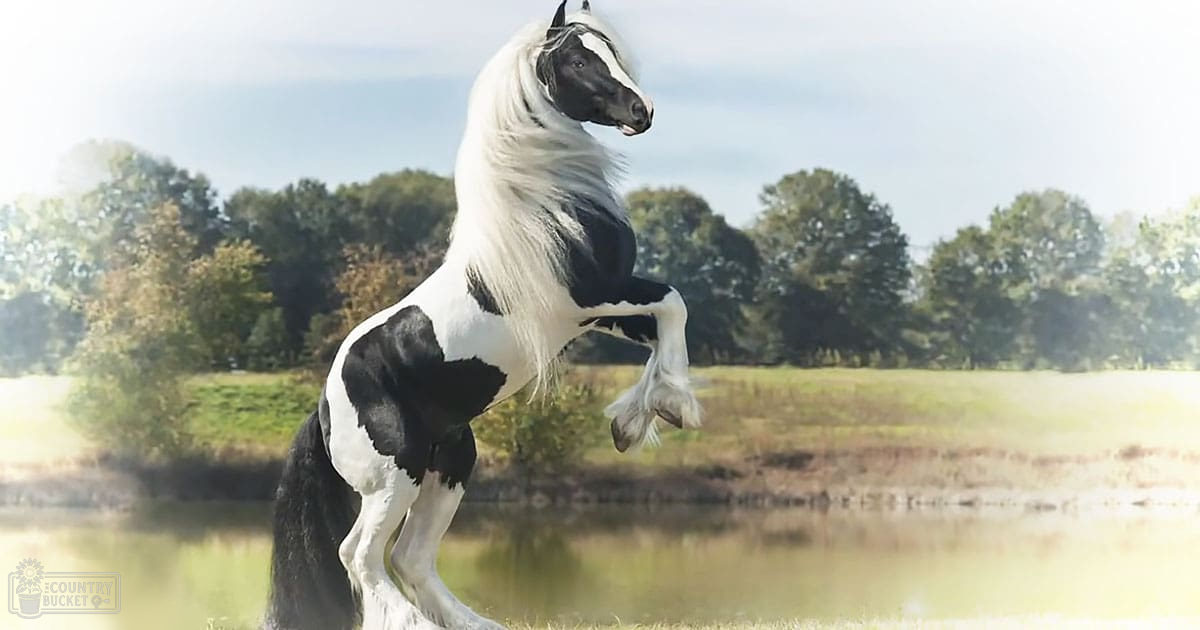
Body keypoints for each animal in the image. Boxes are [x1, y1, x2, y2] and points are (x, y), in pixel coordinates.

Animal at [266, 2, 701, 629]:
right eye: (578, 59)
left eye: (611, 50)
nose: (642, 112)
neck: (545, 208)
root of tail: (324, 407)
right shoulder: (591, 297)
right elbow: (673, 302)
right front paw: (673, 409)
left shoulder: (600, 312)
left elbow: (666, 325)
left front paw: (634, 422)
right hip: (395, 473)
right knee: (361, 555)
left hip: (450, 461)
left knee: (411, 555)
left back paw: (476, 622)